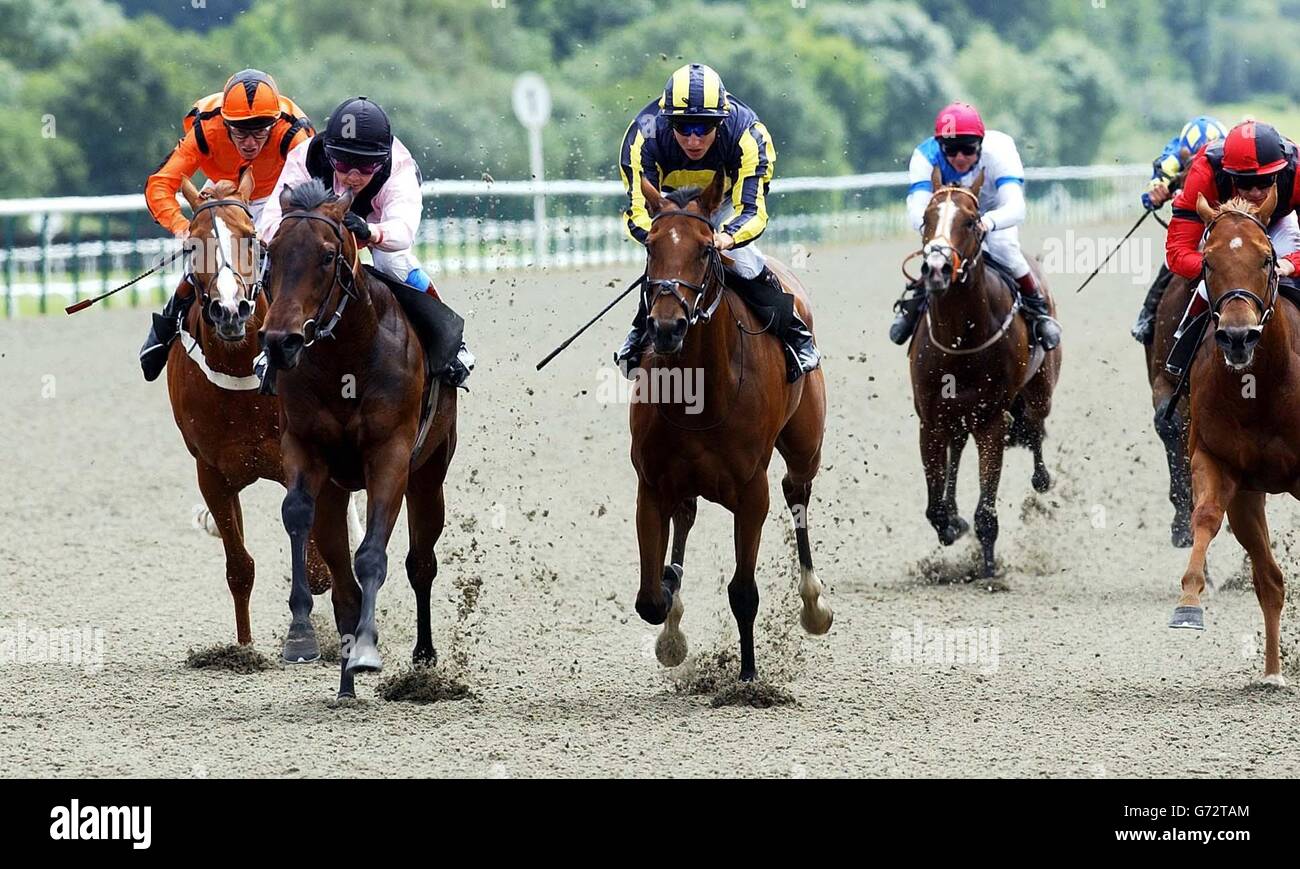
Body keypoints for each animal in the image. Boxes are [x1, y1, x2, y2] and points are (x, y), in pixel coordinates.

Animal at [165, 174, 335, 645]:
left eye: (251, 238)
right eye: (193, 244)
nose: (230, 309)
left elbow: (315, 559)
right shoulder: (213, 474)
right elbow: (239, 568)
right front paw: (243, 648)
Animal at [257, 178, 457, 697]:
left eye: (328, 256)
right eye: (271, 251)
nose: (280, 341)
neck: (347, 357)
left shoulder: (391, 456)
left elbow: (372, 555)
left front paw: (368, 649)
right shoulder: (304, 448)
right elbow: (297, 515)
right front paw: (300, 635)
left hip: (430, 473)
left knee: (420, 563)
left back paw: (422, 658)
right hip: (335, 491)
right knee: (344, 585)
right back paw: (345, 684)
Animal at [629, 173, 832, 681]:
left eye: (705, 249)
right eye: (650, 246)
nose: (666, 327)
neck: (699, 395)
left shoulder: (751, 491)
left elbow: (743, 592)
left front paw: (748, 677)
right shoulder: (652, 485)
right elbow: (650, 598)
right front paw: (670, 595)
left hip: (805, 445)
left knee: (797, 490)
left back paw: (814, 605)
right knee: (685, 517)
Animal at [909, 167, 1060, 577]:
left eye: (971, 220)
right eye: (927, 218)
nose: (937, 268)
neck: (961, 337)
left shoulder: (990, 418)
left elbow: (987, 509)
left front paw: (989, 567)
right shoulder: (930, 419)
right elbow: (934, 506)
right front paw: (951, 522)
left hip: (1040, 390)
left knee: (1036, 427)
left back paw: (1042, 477)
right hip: (956, 415)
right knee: (959, 447)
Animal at [1170, 189, 1300, 686]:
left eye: (1267, 259)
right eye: (1208, 261)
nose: (1239, 336)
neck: (1259, 388)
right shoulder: (1220, 463)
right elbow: (1205, 517)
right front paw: (1188, 605)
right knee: (1270, 581)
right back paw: (1272, 673)